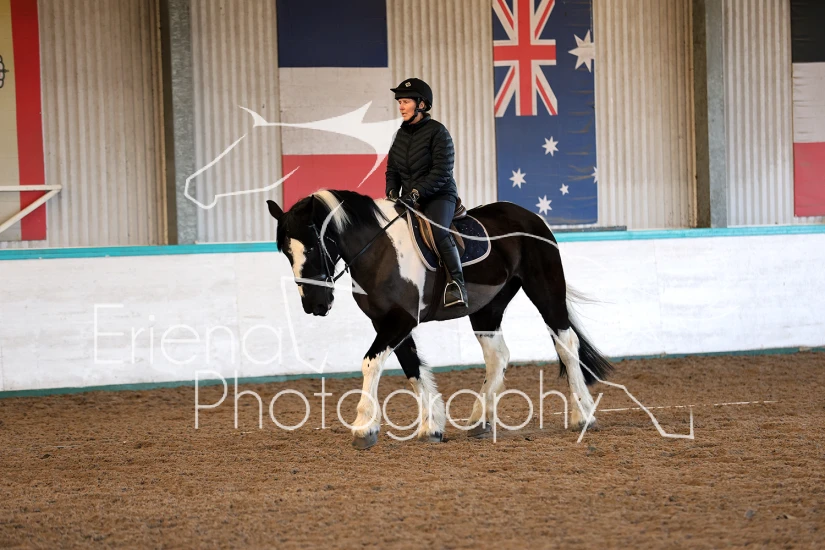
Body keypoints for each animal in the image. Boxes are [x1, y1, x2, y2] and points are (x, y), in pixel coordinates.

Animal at [266, 189, 613, 449]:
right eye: (286, 251)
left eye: (313, 245)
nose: (314, 304)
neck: (379, 251)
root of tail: (529, 216)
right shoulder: (387, 322)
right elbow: (412, 367)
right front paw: (431, 427)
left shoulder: (400, 320)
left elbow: (371, 363)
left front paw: (364, 427)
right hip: (487, 308)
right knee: (498, 356)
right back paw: (480, 419)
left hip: (545, 289)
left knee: (566, 343)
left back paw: (583, 416)